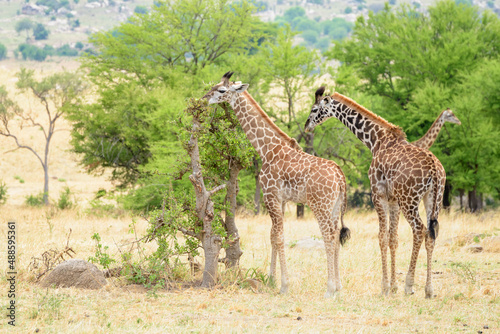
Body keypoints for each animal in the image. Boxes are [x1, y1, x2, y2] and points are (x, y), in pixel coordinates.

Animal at [201, 73, 350, 298]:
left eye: (221, 90)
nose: (204, 98)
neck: (266, 149)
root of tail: (340, 176)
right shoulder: (280, 199)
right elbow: (272, 235)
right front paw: (271, 279)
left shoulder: (270, 194)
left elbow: (279, 237)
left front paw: (284, 285)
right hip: (335, 207)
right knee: (336, 236)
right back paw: (339, 286)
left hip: (320, 205)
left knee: (329, 237)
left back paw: (330, 288)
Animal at [304, 87, 446, 298]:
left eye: (314, 109)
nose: (307, 126)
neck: (376, 140)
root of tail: (435, 170)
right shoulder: (393, 199)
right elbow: (393, 239)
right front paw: (393, 287)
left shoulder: (377, 195)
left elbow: (381, 237)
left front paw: (385, 287)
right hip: (433, 199)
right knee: (431, 233)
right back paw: (429, 290)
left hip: (410, 199)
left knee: (419, 230)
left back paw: (409, 285)